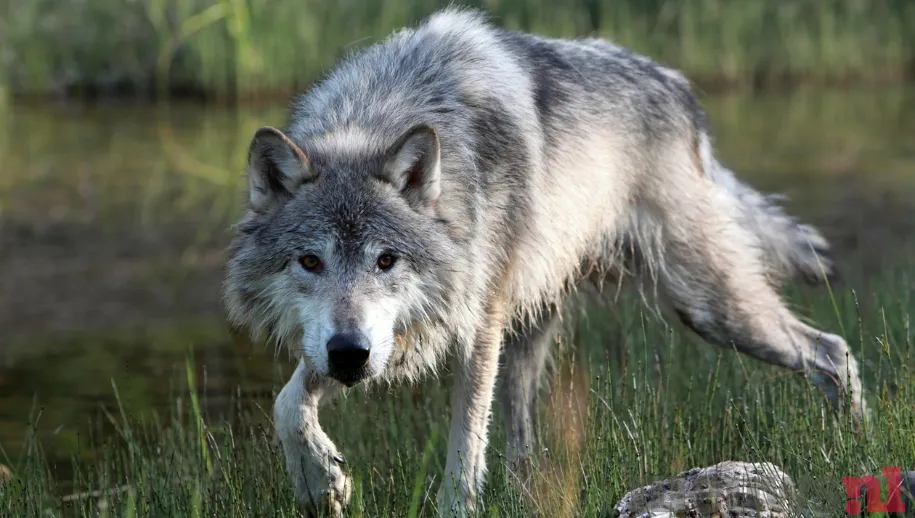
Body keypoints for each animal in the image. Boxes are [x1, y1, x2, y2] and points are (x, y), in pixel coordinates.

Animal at [222, 7, 868, 517]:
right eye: (309, 261)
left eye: (386, 261)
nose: (349, 355)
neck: (385, 108)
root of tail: (680, 89)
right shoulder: (374, 340)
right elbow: (287, 403)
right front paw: (321, 483)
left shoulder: (472, 327)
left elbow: (463, 449)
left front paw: (450, 507)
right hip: (532, 333)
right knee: (522, 443)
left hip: (708, 307)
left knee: (832, 350)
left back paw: (857, 453)